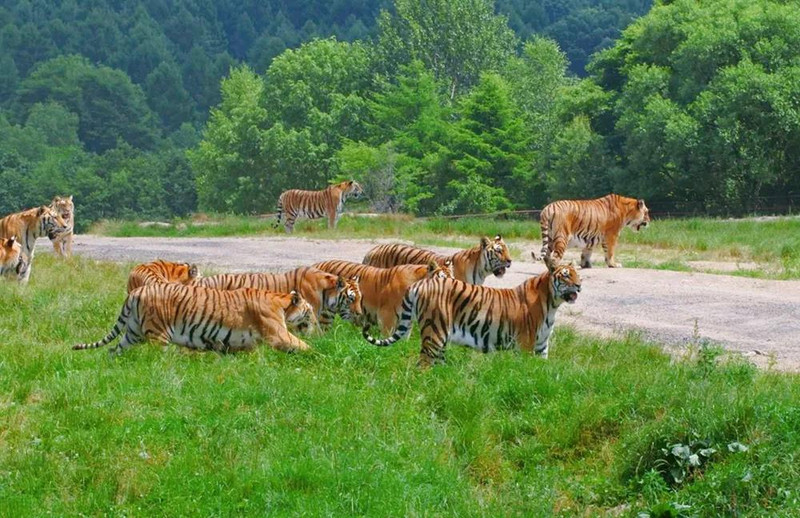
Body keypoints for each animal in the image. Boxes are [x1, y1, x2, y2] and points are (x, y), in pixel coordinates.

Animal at [72, 284, 315, 355]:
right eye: (310, 311)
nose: (314, 324)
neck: (280, 302)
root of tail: (136, 292)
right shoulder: (279, 334)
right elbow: (304, 346)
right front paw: (319, 353)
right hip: (157, 335)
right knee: (154, 360)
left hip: (133, 334)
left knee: (113, 351)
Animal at [313, 259, 453, 335]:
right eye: (442, 280)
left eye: (453, 280)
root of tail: (316, 265)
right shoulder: (387, 316)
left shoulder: (407, 321)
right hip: (326, 313)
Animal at [362, 261, 581, 367]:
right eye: (566, 276)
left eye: (577, 274)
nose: (579, 285)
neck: (553, 304)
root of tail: (421, 283)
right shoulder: (526, 345)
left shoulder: (542, 345)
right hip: (435, 332)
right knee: (423, 364)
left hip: (440, 338)